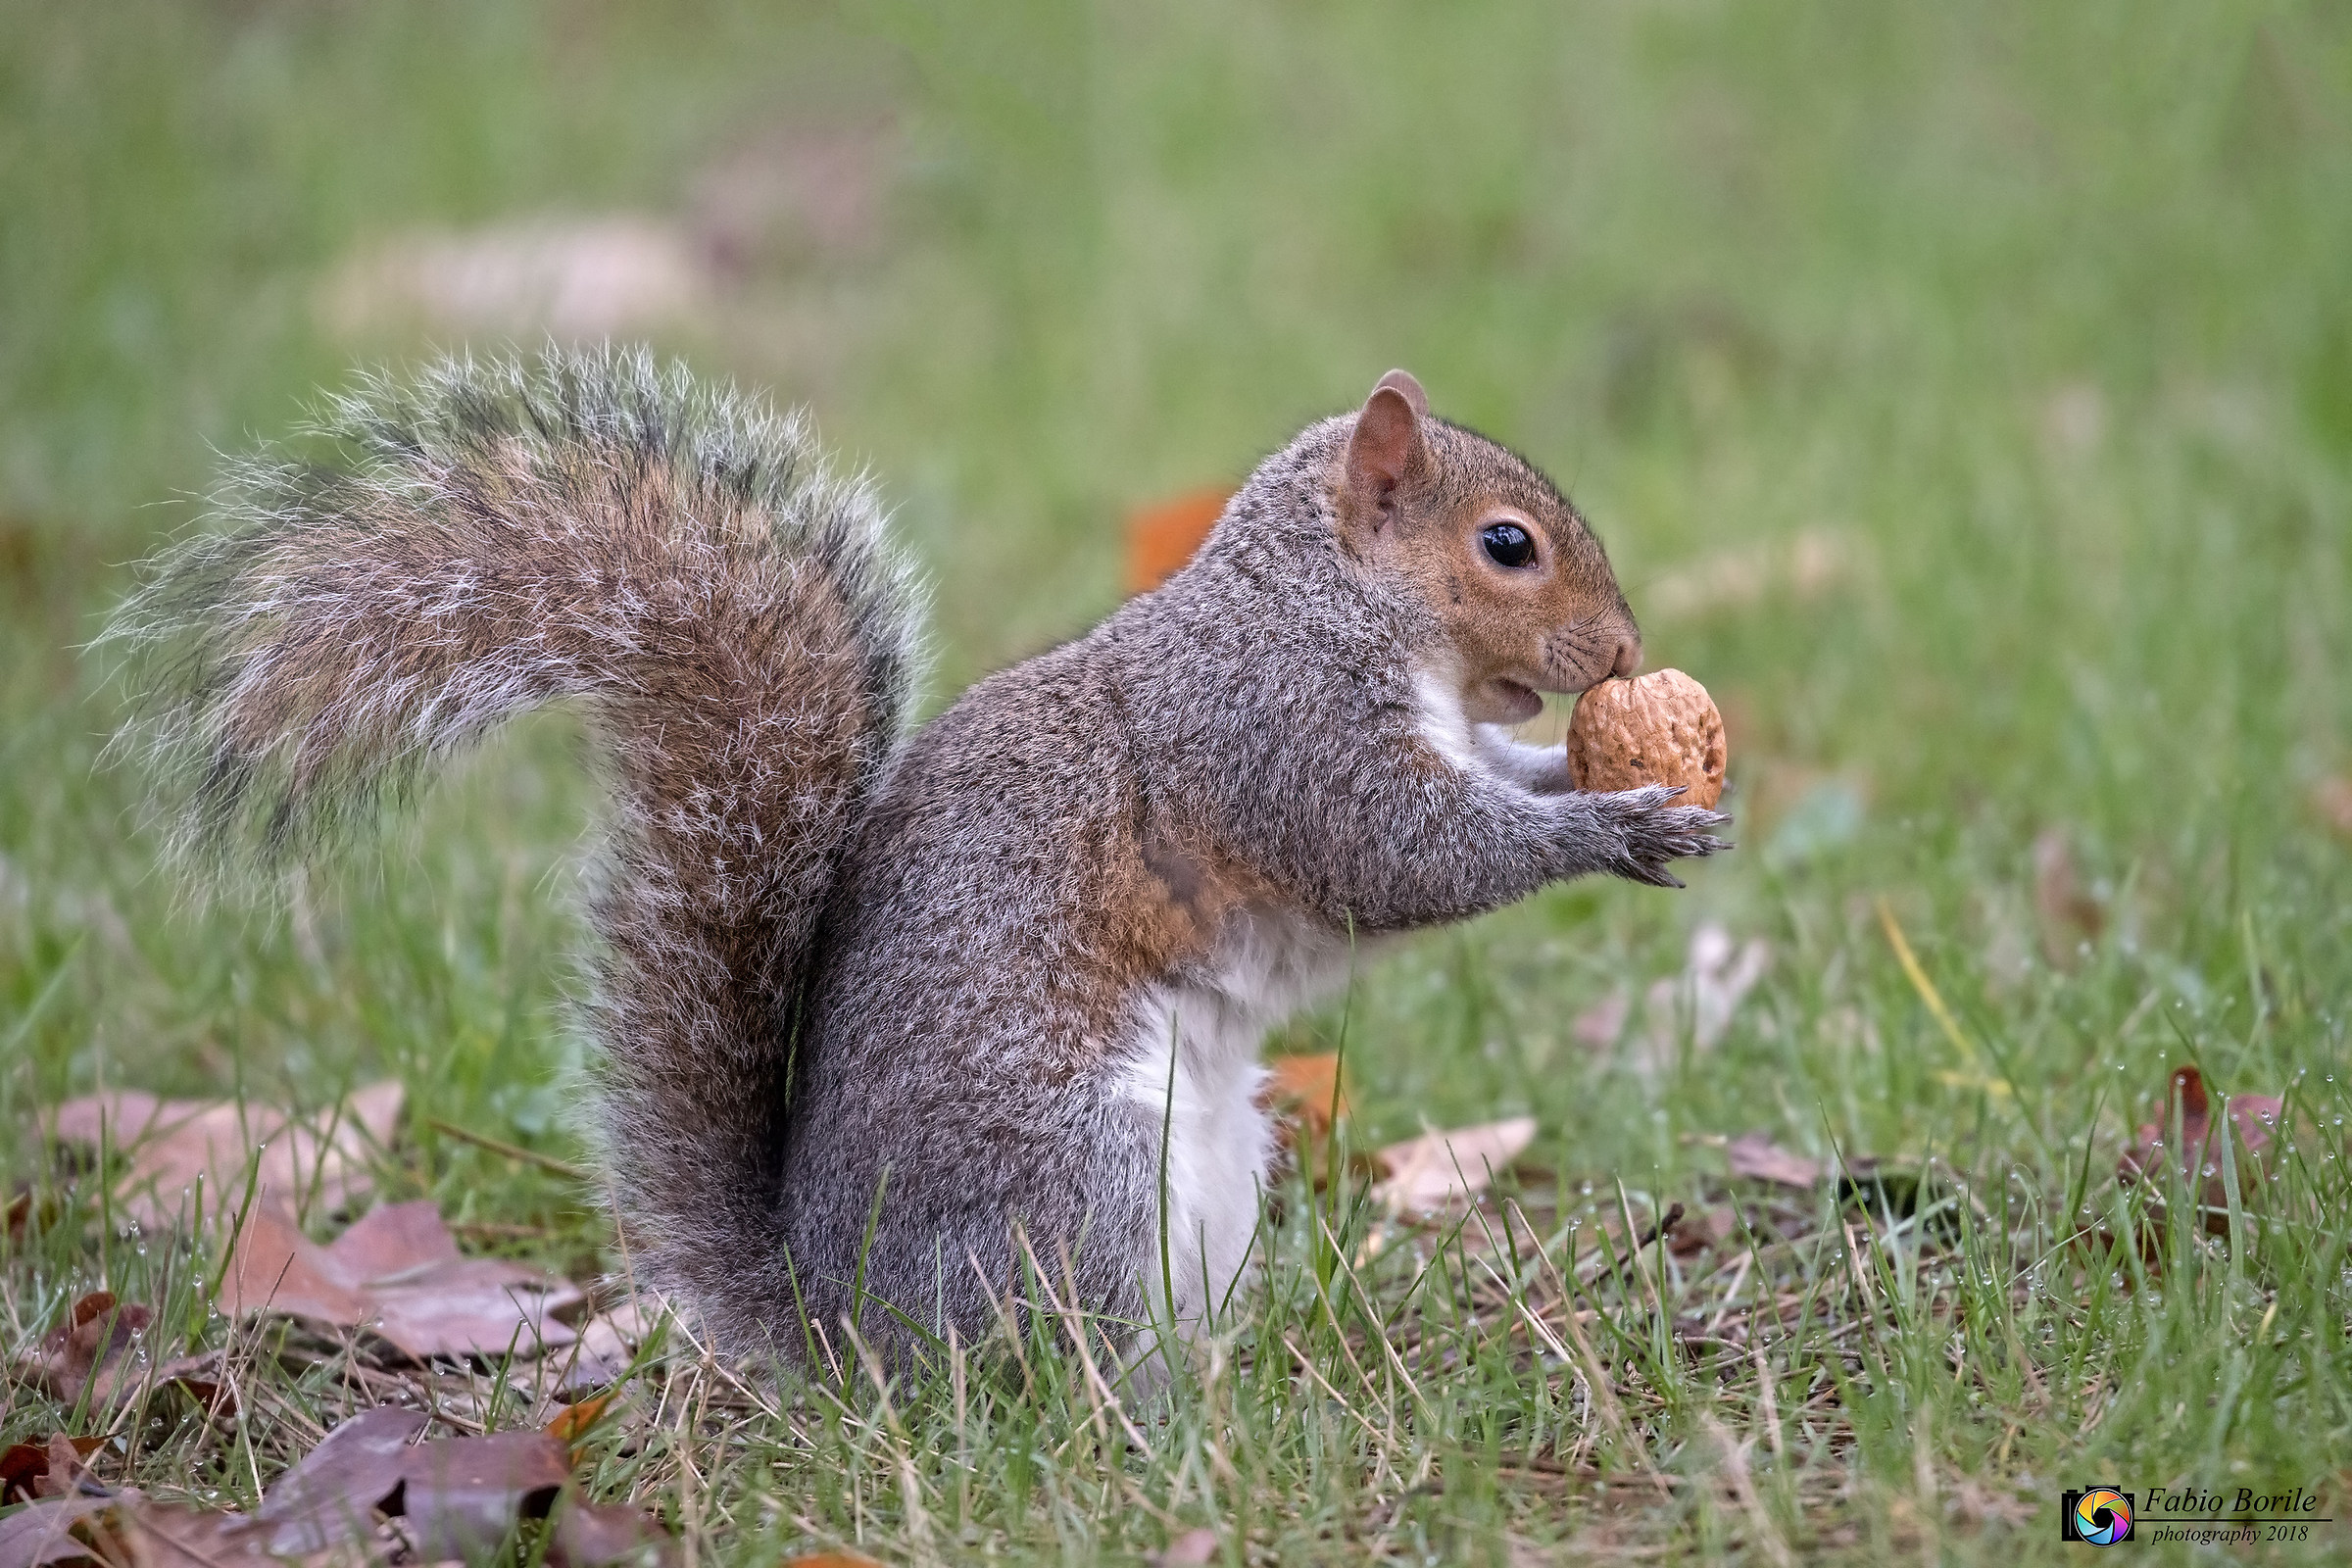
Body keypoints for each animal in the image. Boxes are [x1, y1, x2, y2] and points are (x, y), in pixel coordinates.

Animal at [110, 347, 1728, 1367]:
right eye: (1508, 546)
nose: (1625, 653)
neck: (1325, 604)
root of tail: (843, 1337)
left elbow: (1487, 787)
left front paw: (1651, 787)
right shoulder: (1272, 737)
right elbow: (1408, 854)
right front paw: (1611, 824)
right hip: (1076, 1176)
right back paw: (1155, 1422)